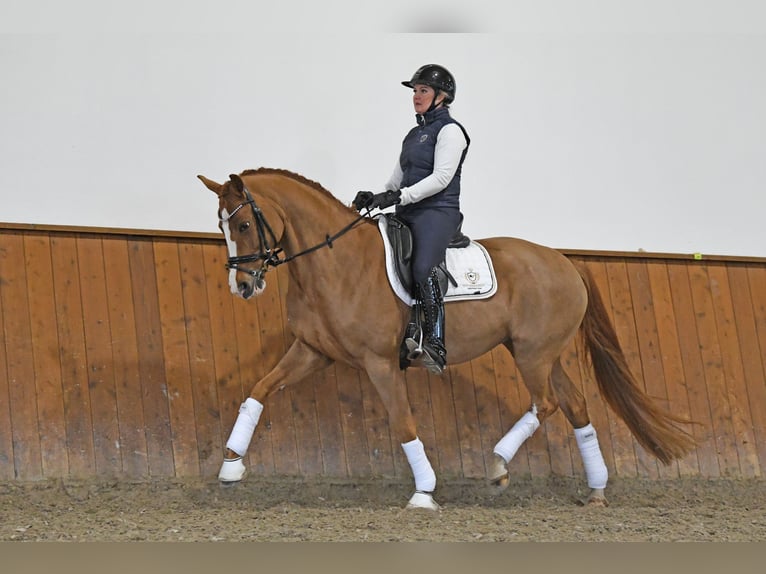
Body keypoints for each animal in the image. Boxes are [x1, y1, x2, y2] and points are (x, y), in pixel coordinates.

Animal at [196, 169, 696, 510]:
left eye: (243, 226)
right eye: (221, 226)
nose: (242, 287)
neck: (335, 263)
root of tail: (566, 261)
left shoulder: (380, 363)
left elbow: (403, 424)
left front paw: (424, 493)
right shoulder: (313, 351)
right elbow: (258, 390)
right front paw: (230, 466)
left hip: (533, 355)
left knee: (548, 403)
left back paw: (497, 466)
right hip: (542, 353)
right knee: (574, 405)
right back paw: (595, 490)